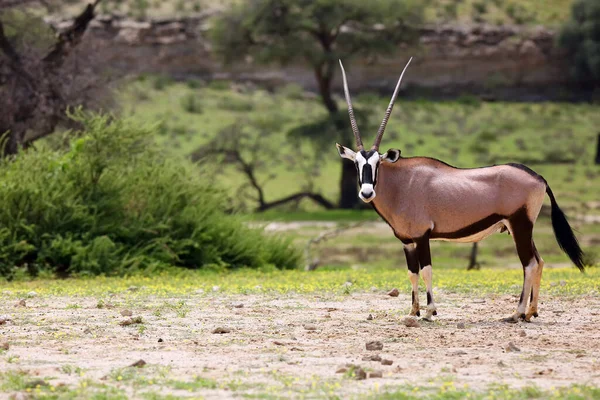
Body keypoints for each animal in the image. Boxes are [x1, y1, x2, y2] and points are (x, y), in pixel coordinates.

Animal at [338, 57, 584, 324]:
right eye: (356, 163)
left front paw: (430, 312)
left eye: (377, 164)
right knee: (538, 261)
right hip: (521, 228)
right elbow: (412, 273)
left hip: (520, 225)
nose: (366, 193)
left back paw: (516, 313)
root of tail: (539, 177)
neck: (401, 184)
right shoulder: (407, 241)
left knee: (528, 264)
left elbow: (426, 271)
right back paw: (531, 311)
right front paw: (413, 311)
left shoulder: (422, 236)